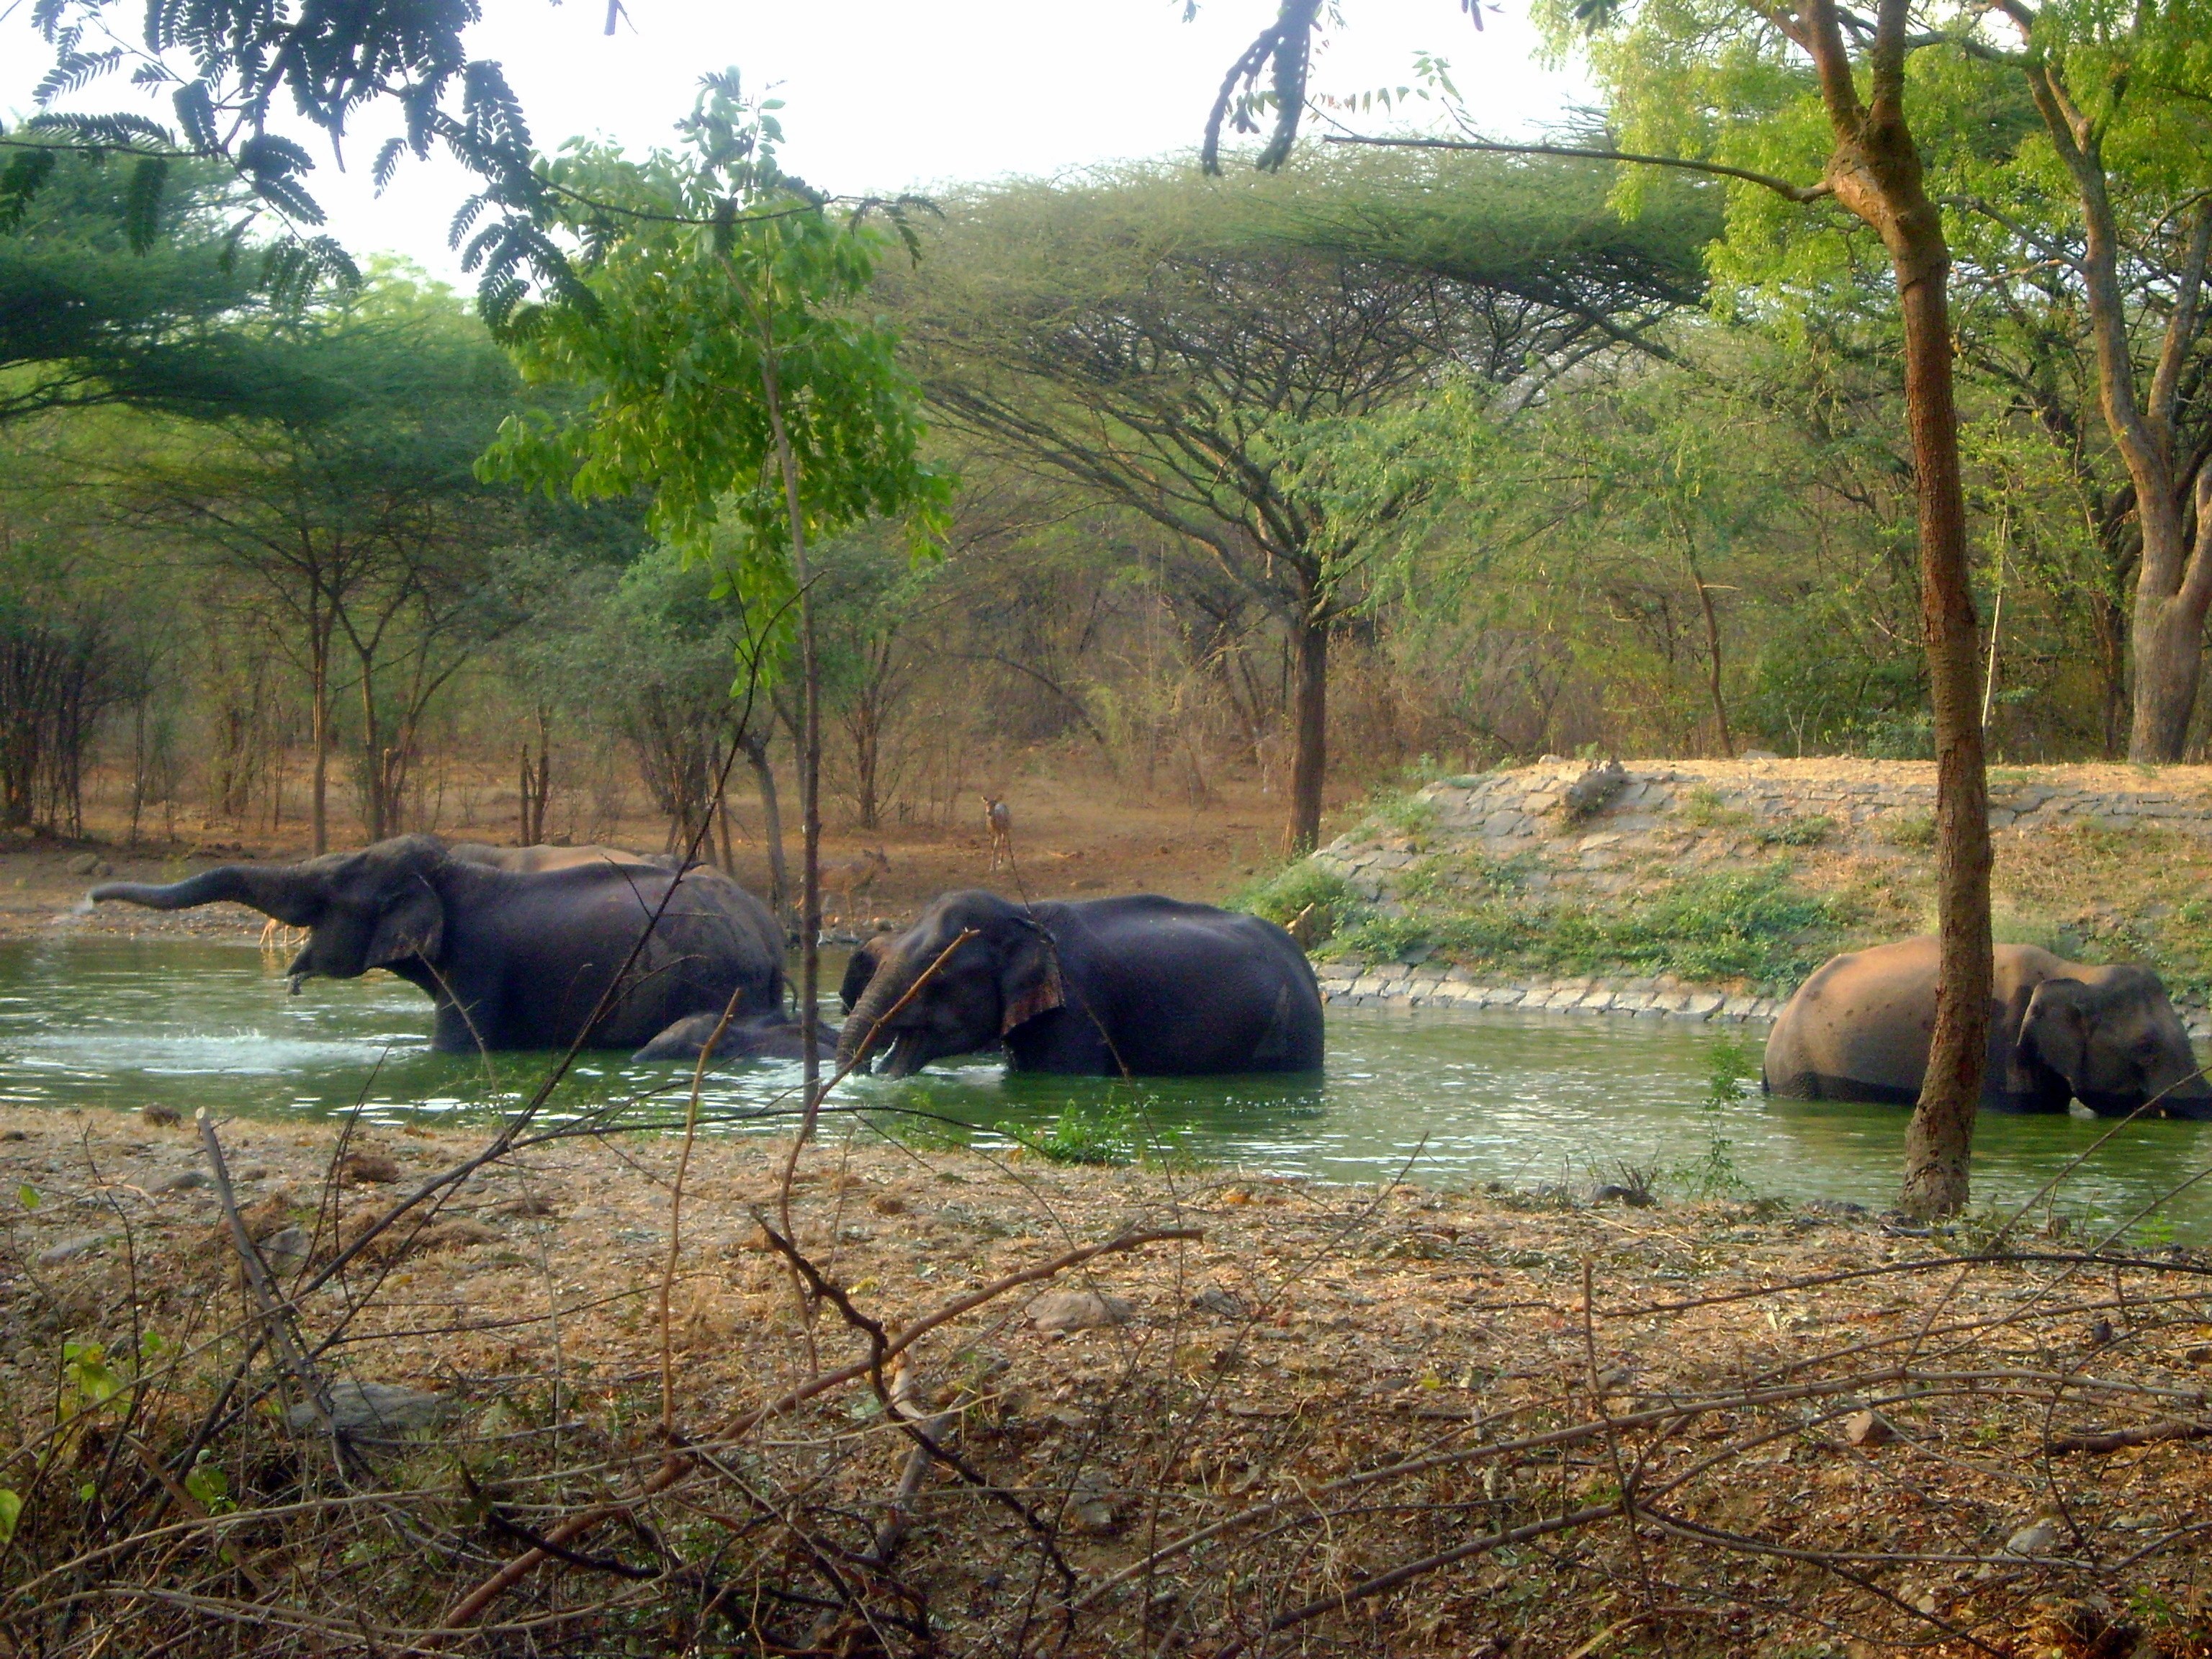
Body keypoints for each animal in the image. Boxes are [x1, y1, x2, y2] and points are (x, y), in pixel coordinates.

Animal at [90, 834, 785, 1054]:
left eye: (331, 896)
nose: (91, 899)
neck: (452, 869)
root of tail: (771, 933)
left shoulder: (478, 963)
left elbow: (456, 1045)